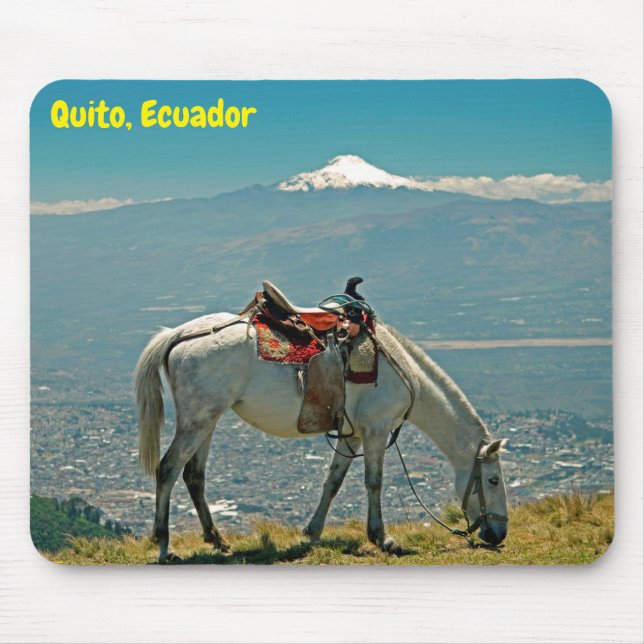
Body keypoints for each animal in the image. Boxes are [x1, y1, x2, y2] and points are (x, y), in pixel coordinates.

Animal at [135, 312, 509, 562]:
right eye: (492, 480)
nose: (498, 534)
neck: (403, 371)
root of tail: (180, 334)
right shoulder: (376, 430)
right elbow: (374, 482)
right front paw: (383, 539)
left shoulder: (352, 435)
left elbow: (333, 481)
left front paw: (313, 531)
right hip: (197, 420)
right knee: (168, 469)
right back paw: (165, 546)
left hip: (207, 420)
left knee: (193, 475)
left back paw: (218, 540)